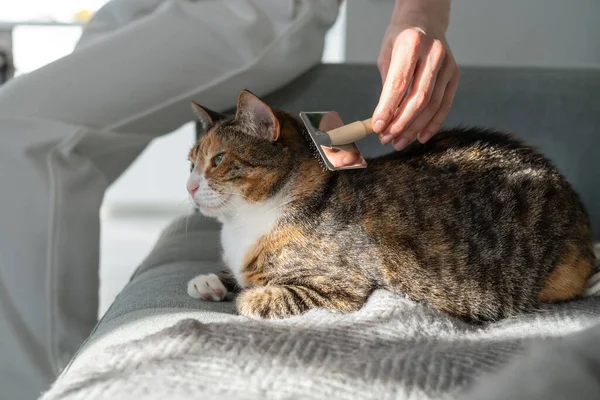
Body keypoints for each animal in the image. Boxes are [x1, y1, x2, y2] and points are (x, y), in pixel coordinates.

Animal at [186, 90, 596, 322]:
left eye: (218, 160)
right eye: (191, 162)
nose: (189, 186)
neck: (243, 224)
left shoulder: (338, 288)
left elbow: (258, 298)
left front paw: (243, 294)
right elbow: (235, 275)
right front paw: (211, 281)